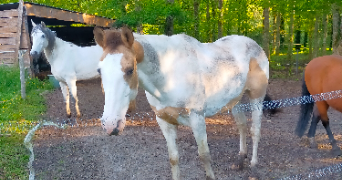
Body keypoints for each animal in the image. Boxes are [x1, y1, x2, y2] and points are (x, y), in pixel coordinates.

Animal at [94, 26, 276, 179]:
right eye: (99, 70)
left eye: (130, 70)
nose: (110, 124)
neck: (169, 75)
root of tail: (255, 46)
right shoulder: (164, 121)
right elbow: (173, 158)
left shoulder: (197, 118)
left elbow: (204, 155)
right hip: (236, 99)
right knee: (242, 126)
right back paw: (240, 160)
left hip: (256, 98)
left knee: (255, 129)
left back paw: (253, 164)